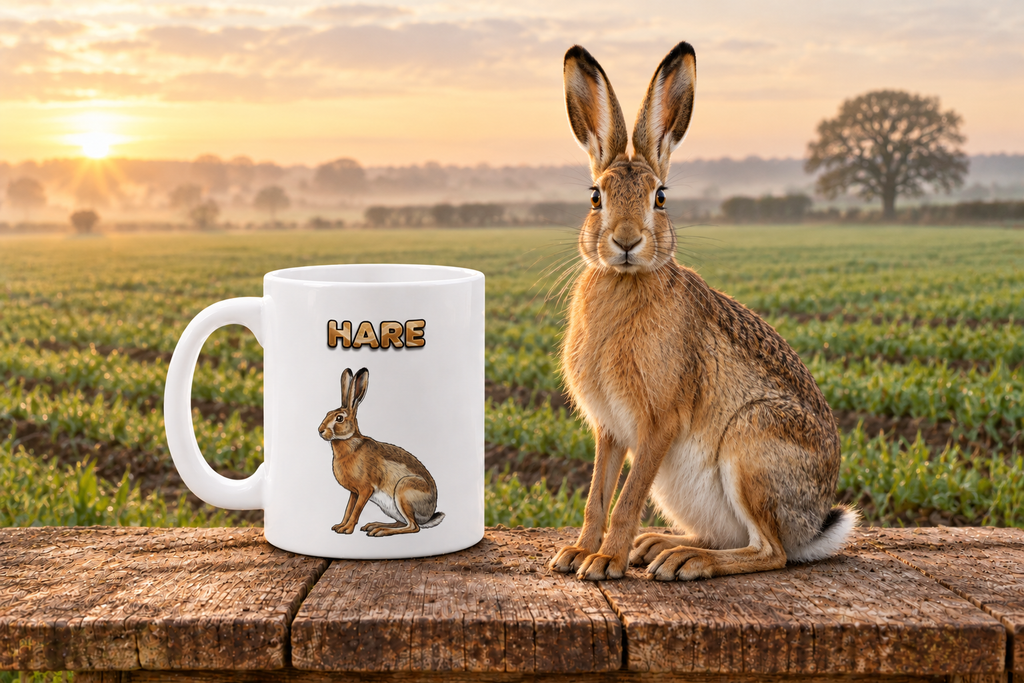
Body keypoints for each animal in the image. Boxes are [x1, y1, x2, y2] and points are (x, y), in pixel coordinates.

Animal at [318, 367, 444, 536]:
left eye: (339, 418)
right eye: (327, 413)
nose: (320, 430)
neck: (350, 445)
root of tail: (429, 515)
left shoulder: (365, 489)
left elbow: (356, 511)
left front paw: (347, 529)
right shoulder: (354, 492)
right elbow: (348, 509)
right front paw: (339, 526)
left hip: (403, 492)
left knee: (413, 526)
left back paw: (380, 531)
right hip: (395, 509)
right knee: (403, 523)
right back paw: (374, 525)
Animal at [548, 42, 858, 582]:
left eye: (660, 197)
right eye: (595, 197)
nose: (626, 241)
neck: (625, 281)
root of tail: (813, 525)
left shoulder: (658, 422)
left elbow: (625, 499)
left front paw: (604, 562)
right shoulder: (610, 429)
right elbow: (596, 496)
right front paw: (576, 555)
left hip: (752, 447)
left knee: (769, 552)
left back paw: (685, 561)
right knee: (733, 537)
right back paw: (657, 547)